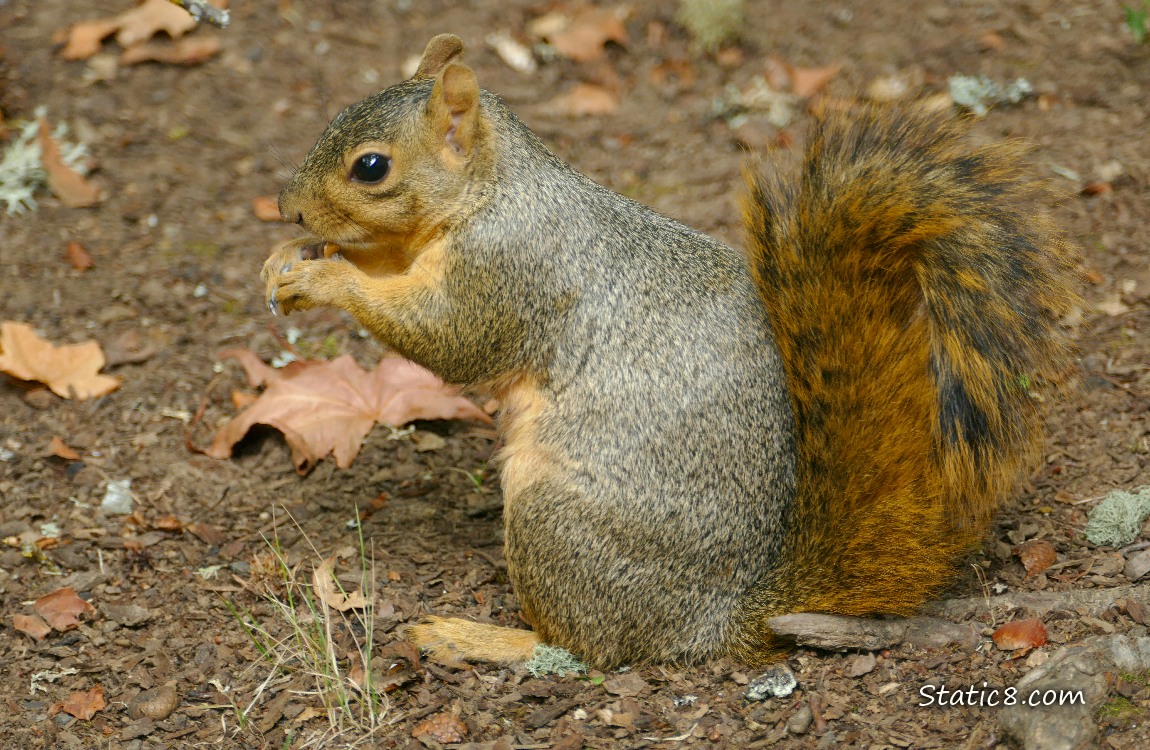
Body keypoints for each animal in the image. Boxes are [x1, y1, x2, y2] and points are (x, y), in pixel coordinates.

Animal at [263, 34, 1077, 669]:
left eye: (371, 167)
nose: (288, 209)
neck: (491, 191)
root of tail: (726, 616)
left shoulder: (508, 271)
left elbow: (448, 340)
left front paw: (324, 276)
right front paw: (289, 261)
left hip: (557, 520)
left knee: (592, 649)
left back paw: (478, 638)